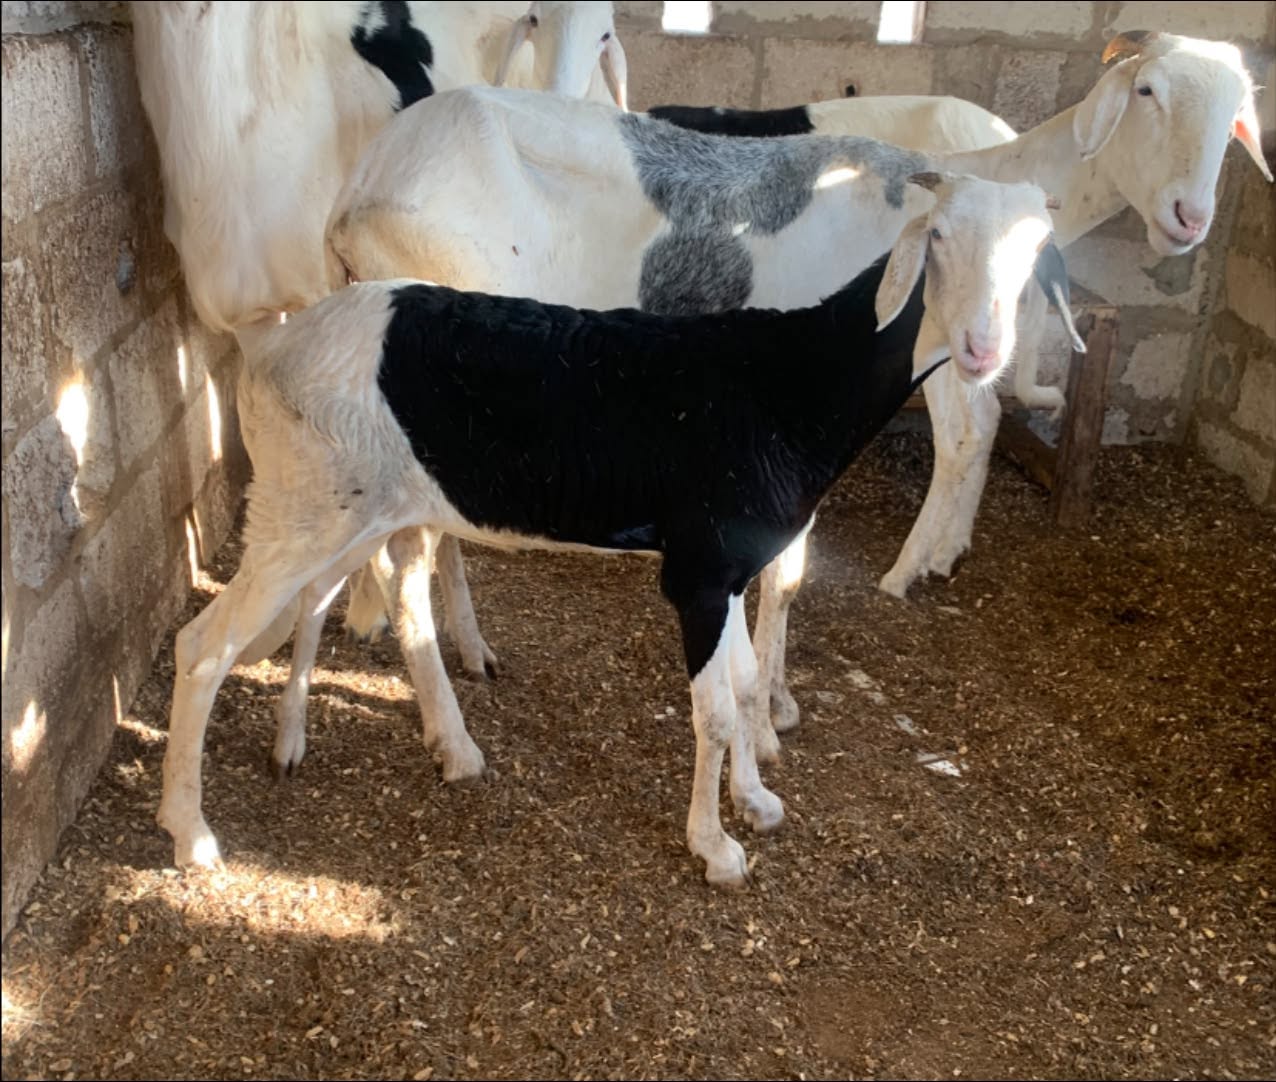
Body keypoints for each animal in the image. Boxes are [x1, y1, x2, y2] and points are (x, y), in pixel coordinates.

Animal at [157, 173, 1074, 886]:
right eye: (941, 238)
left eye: (1034, 255)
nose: (984, 348)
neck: (795, 382)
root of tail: (268, 356)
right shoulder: (699, 571)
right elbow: (713, 711)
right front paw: (715, 848)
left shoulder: (733, 570)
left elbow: (745, 685)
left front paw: (754, 798)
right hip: (305, 504)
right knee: (204, 646)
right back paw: (192, 834)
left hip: (355, 507)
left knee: (352, 601)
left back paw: (379, 746)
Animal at [314, 31, 1271, 761]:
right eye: (1147, 90)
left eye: (1236, 114)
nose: (1190, 217)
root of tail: (358, 194)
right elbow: (788, 569)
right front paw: (768, 715)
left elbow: (790, 570)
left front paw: (771, 700)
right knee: (404, 539)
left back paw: (452, 644)